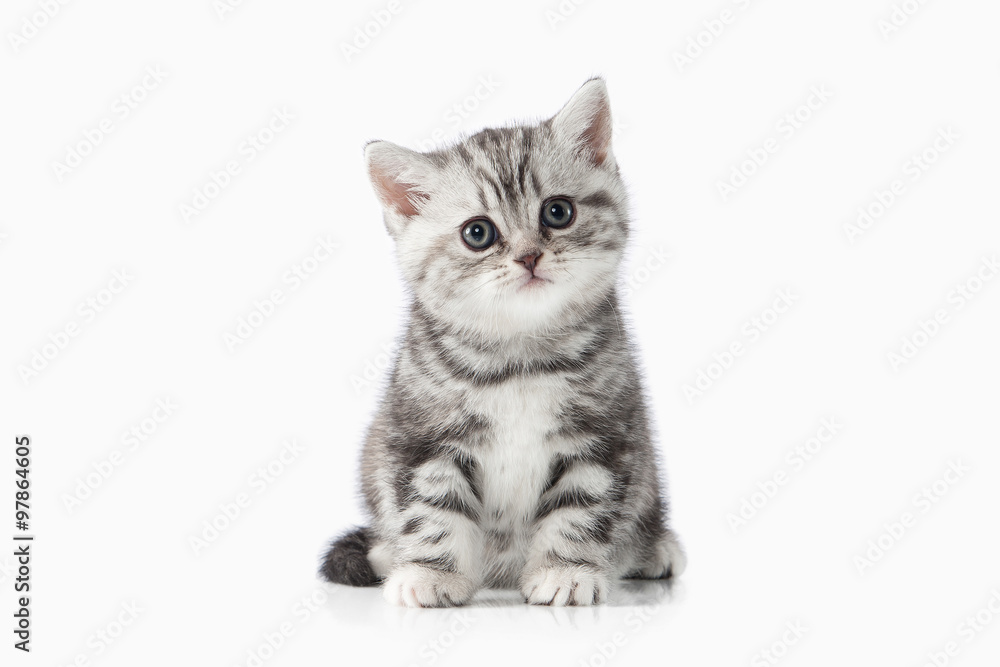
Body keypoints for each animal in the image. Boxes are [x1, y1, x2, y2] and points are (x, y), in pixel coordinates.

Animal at [324, 79, 684, 612]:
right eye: (478, 233)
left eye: (558, 212)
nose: (529, 256)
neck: (520, 354)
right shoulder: (422, 436)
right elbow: (433, 508)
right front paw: (431, 573)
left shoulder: (605, 435)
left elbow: (581, 506)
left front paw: (565, 571)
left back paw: (655, 548)